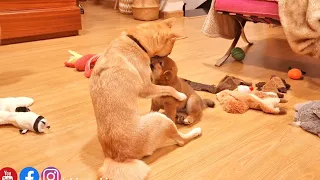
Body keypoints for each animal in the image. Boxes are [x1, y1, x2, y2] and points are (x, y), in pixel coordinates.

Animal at [89, 18, 201, 180]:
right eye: (168, 52)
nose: (163, 58)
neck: (136, 41)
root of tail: (117, 158)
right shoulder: (147, 87)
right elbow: (170, 89)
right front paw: (181, 95)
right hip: (162, 120)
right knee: (181, 140)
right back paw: (196, 131)